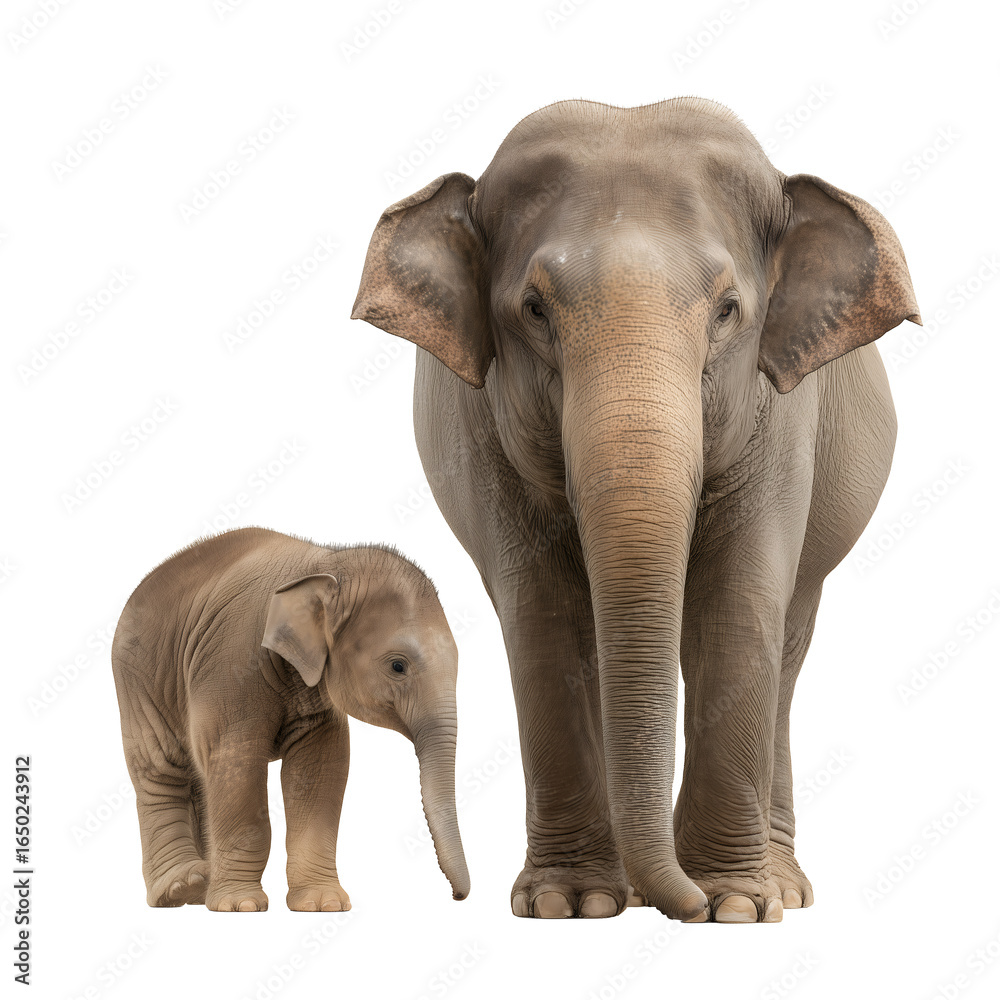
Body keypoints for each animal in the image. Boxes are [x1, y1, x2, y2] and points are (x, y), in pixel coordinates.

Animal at [111, 526, 469, 911]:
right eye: (398, 666)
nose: (456, 896)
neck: (325, 563)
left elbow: (319, 767)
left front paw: (323, 903)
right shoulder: (232, 662)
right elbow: (237, 761)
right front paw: (240, 906)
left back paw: (200, 890)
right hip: (137, 680)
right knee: (161, 770)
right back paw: (182, 888)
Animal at [352, 97, 919, 923]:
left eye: (728, 310)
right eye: (533, 309)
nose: (672, 901)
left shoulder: (783, 420)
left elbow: (736, 611)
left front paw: (734, 906)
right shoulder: (479, 435)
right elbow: (545, 622)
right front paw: (572, 903)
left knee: (784, 644)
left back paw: (780, 885)